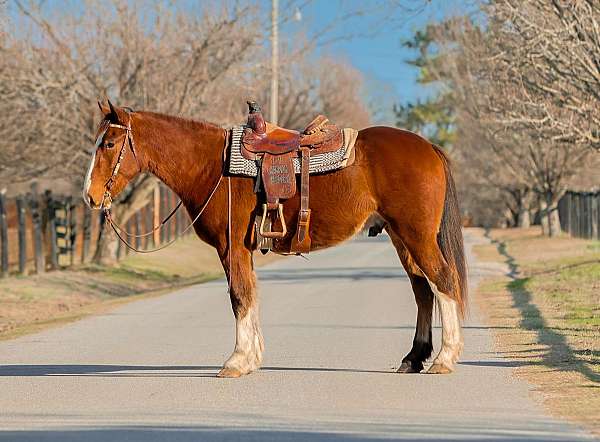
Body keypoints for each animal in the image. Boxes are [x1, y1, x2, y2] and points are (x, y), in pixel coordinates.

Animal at [85, 102, 468, 378]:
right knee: (423, 291)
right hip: (402, 239)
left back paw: (444, 358)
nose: (90, 197)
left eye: (108, 143)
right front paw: (252, 357)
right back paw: (414, 357)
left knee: (443, 281)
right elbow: (250, 296)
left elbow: (240, 297)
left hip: (416, 236)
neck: (213, 166)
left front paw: (237, 361)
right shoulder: (244, 250)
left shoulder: (231, 248)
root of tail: (428, 147)